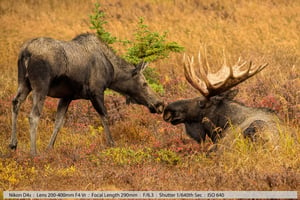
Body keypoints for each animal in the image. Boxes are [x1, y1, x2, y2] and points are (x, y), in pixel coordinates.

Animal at [9, 33, 164, 156]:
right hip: (41, 86)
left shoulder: (67, 96)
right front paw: (111, 143)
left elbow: (58, 122)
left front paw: (49, 147)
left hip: (23, 82)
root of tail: (25, 52)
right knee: (33, 115)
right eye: (144, 83)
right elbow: (105, 117)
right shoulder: (96, 91)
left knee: (15, 103)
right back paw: (33, 152)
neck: (112, 73)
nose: (160, 104)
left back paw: (13, 144)